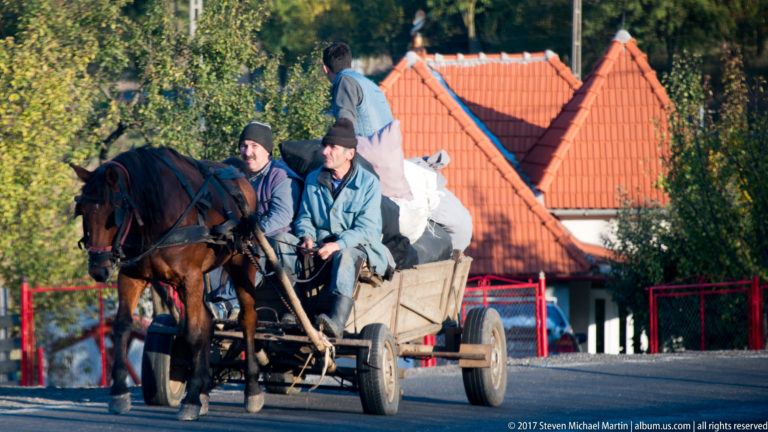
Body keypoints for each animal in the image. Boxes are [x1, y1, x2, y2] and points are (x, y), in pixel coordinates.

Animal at [71, 146, 266, 421]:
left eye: (114, 211)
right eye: (84, 211)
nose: (99, 268)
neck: (155, 216)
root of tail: (242, 179)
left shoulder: (190, 278)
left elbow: (193, 333)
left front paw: (191, 401)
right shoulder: (131, 276)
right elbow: (122, 326)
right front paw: (119, 393)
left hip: (241, 264)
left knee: (247, 319)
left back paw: (251, 390)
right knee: (207, 322)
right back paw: (204, 389)